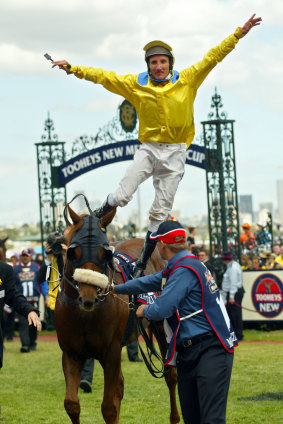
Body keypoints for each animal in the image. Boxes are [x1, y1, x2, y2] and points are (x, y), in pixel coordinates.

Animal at [54, 204, 181, 422]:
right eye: (73, 252)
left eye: (104, 252)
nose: (88, 296)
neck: (85, 315)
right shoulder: (71, 353)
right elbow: (71, 404)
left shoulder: (111, 352)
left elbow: (109, 407)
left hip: (160, 325)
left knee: (170, 375)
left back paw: (174, 416)